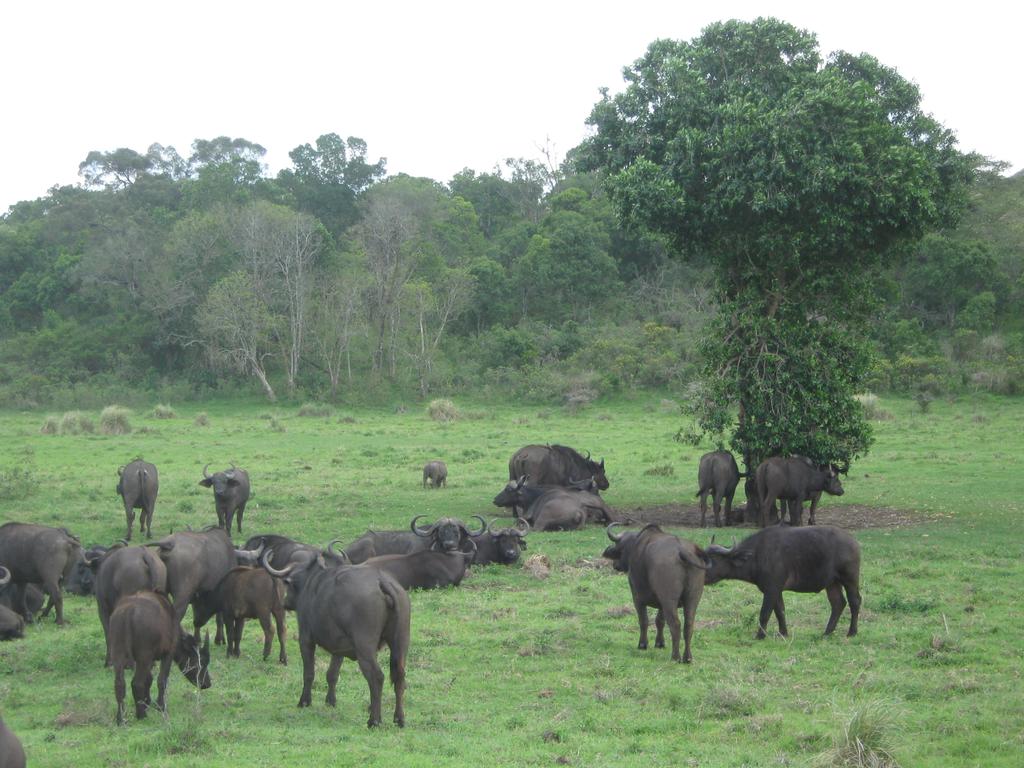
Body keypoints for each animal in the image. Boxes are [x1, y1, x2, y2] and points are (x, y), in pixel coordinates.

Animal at [108, 593, 209, 724]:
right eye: (202, 661)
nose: (207, 683)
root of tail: (128, 611)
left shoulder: (150, 660)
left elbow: (149, 679)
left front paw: (147, 702)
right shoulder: (168, 653)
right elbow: (162, 680)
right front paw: (160, 706)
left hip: (118, 654)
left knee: (119, 684)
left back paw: (121, 718)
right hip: (144, 656)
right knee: (137, 683)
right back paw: (141, 714)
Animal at [262, 548, 409, 724]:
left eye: (288, 584)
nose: (285, 602)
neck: (312, 582)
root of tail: (381, 581)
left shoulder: (306, 639)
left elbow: (309, 673)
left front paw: (304, 701)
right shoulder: (339, 648)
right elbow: (332, 674)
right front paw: (330, 701)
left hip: (365, 649)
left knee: (377, 677)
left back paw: (374, 720)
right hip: (400, 644)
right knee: (400, 677)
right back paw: (399, 719)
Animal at [602, 528, 708, 663]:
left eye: (620, 547)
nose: (615, 565)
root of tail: (683, 552)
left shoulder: (637, 598)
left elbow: (644, 620)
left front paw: (642, 644)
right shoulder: (661, 603)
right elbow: (660, 621)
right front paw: (660, 643)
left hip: (669, 600)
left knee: (675, 624)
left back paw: (675, 657)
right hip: (692, 598)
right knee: (688, 625)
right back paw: (687, 657)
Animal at [704, 528, 864, 638]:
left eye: (712, 560)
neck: (757, 555)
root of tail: (853, 542)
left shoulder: (771, 589)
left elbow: (765, 613)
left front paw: (760, 635)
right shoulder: (775, 590)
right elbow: (780, 611)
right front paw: (783, 633)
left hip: (849, 579)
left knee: (855, 601)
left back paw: (852, 632)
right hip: (832, 583)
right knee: (838, 603)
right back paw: (827, 632)